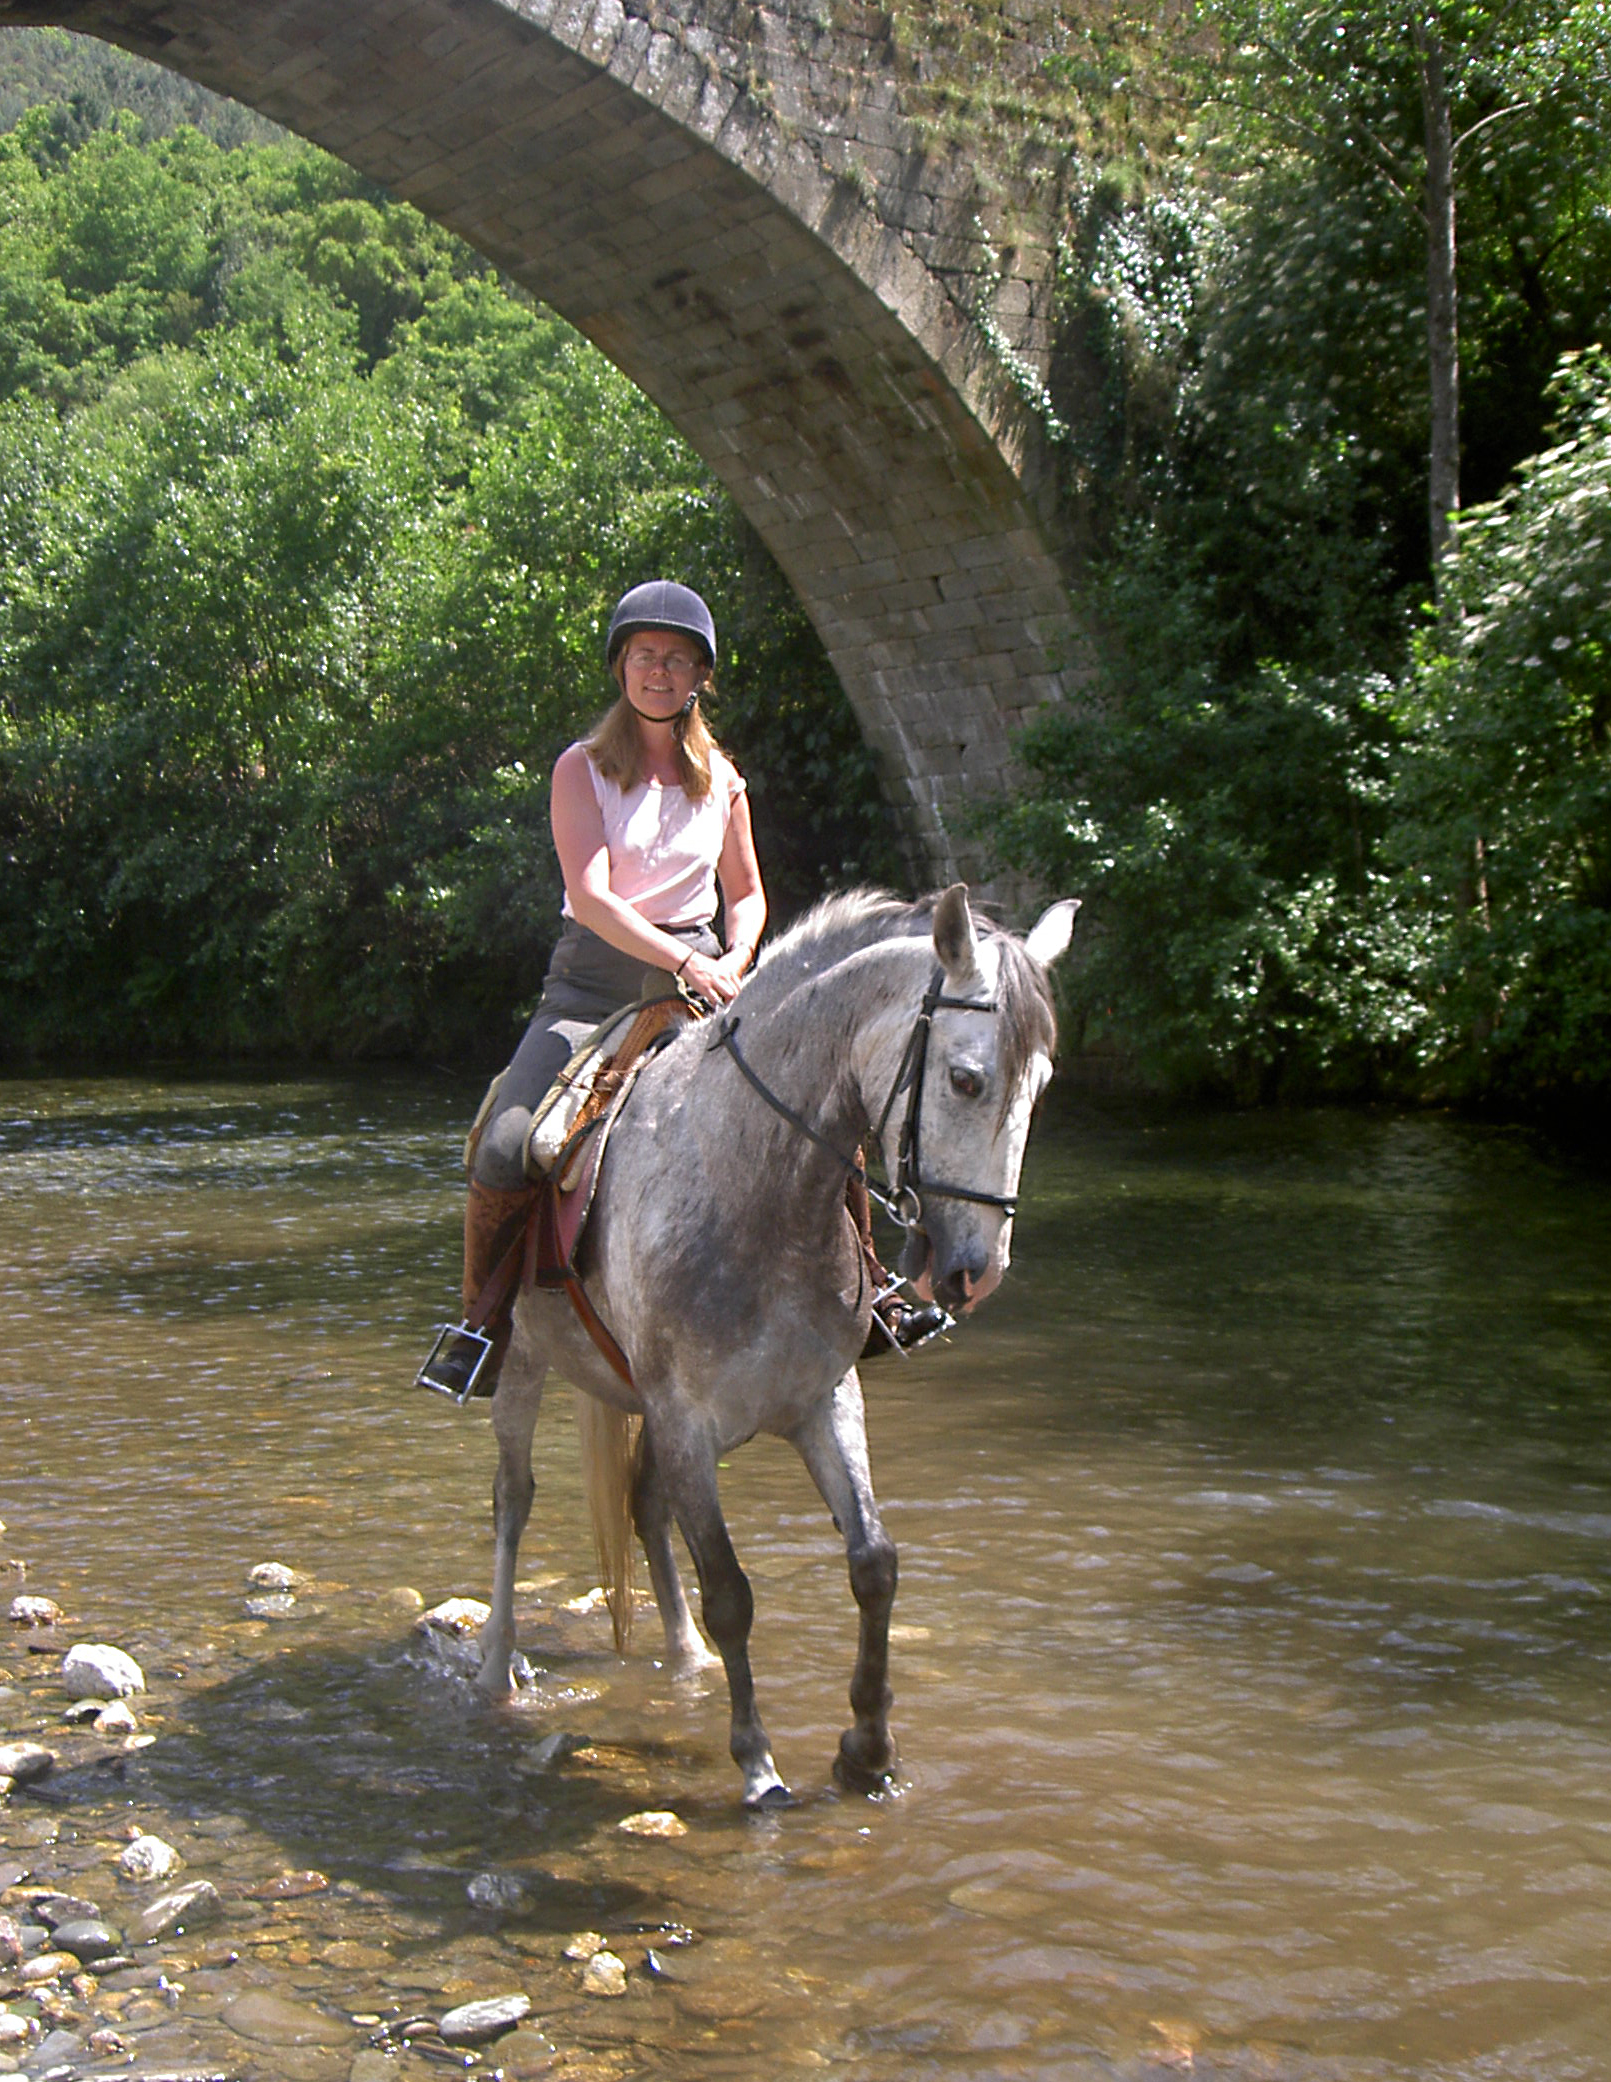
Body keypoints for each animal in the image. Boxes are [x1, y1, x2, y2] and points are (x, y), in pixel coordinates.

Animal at [478, 878, 1082, 1807]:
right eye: (965, 1078)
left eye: (1040, 1086)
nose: (974, 1272)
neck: (751, 1183)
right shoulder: (687, 1420)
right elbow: (731, 1591)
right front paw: (758, 1763)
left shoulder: (820, 1401)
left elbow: (873, 1564)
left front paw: (867, 1750)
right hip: (522, 1362)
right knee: (513, 1498)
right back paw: (495, 1667)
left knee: (642, 1507)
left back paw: (684, 1659)